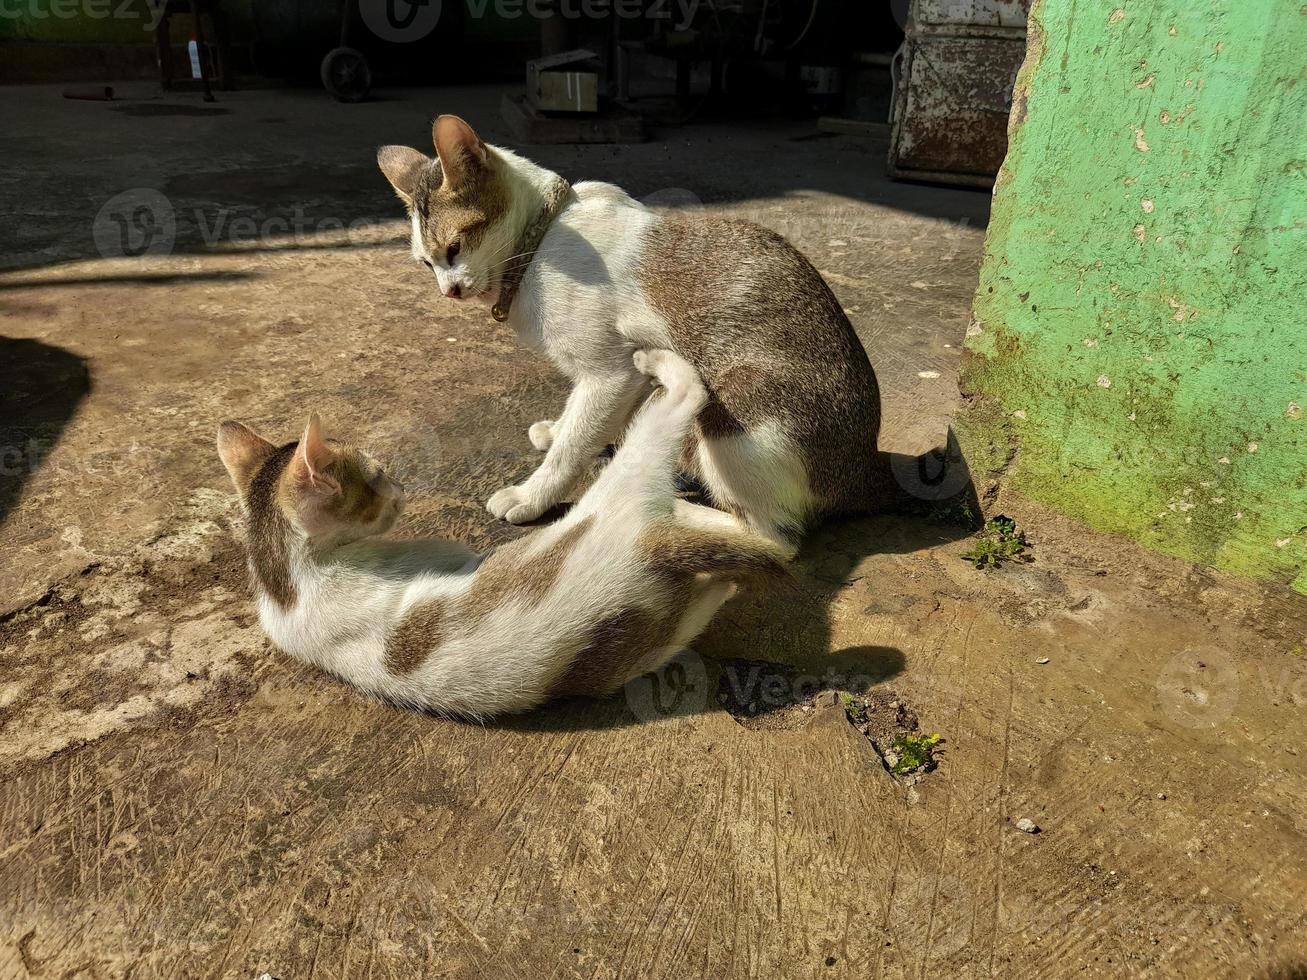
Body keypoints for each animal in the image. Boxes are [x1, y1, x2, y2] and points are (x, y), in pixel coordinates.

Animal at [215, 350, 784, 716]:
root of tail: (648, 550)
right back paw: (657, 364)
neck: (286, 581)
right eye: (375, 476)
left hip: (642, 641)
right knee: (684, 406)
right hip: (633, 477)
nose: (400, 488)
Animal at [379, 114, 888, 554]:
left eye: (454, 248)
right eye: (426, 264)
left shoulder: (610, 374)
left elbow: (571, 451)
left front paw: (532, 493)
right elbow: (577, 423)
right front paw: (559, 428)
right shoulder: (611, 378)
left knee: (774, 538)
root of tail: (866, 476)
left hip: (735, 398)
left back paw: (668, 508)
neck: (541, 237)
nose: (449, 291)